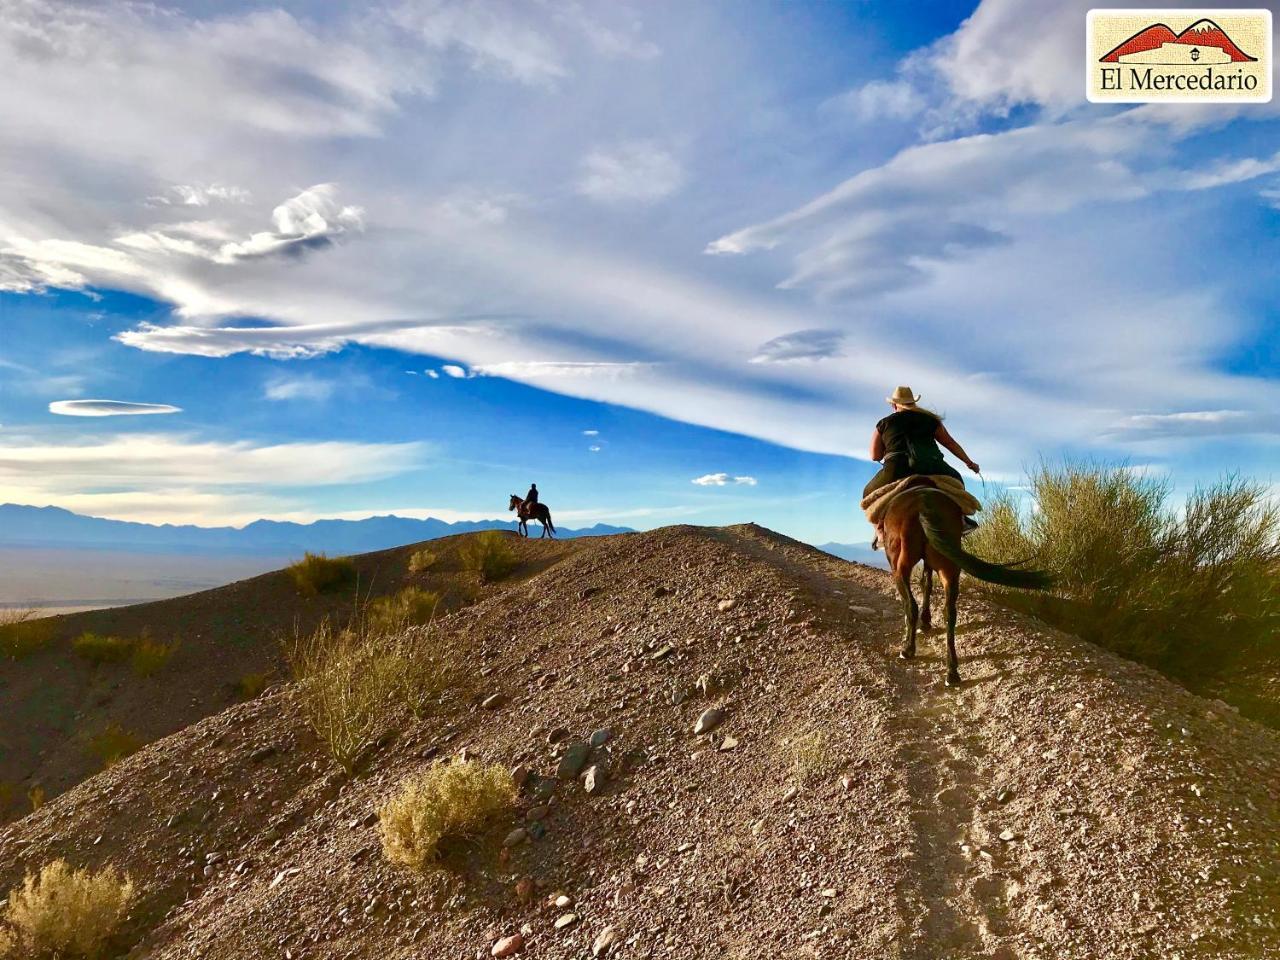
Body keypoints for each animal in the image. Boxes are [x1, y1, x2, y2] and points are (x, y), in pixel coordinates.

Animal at [880, 478, 1049, 686]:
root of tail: (923, 504)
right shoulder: (930, 563)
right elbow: (926, 584)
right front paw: (926, 622)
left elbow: (922, 588)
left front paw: (923, 624)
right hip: (949, 567)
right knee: (950, 613)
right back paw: (952, 671)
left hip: (900, 566)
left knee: (911, 605)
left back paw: (908, 650)